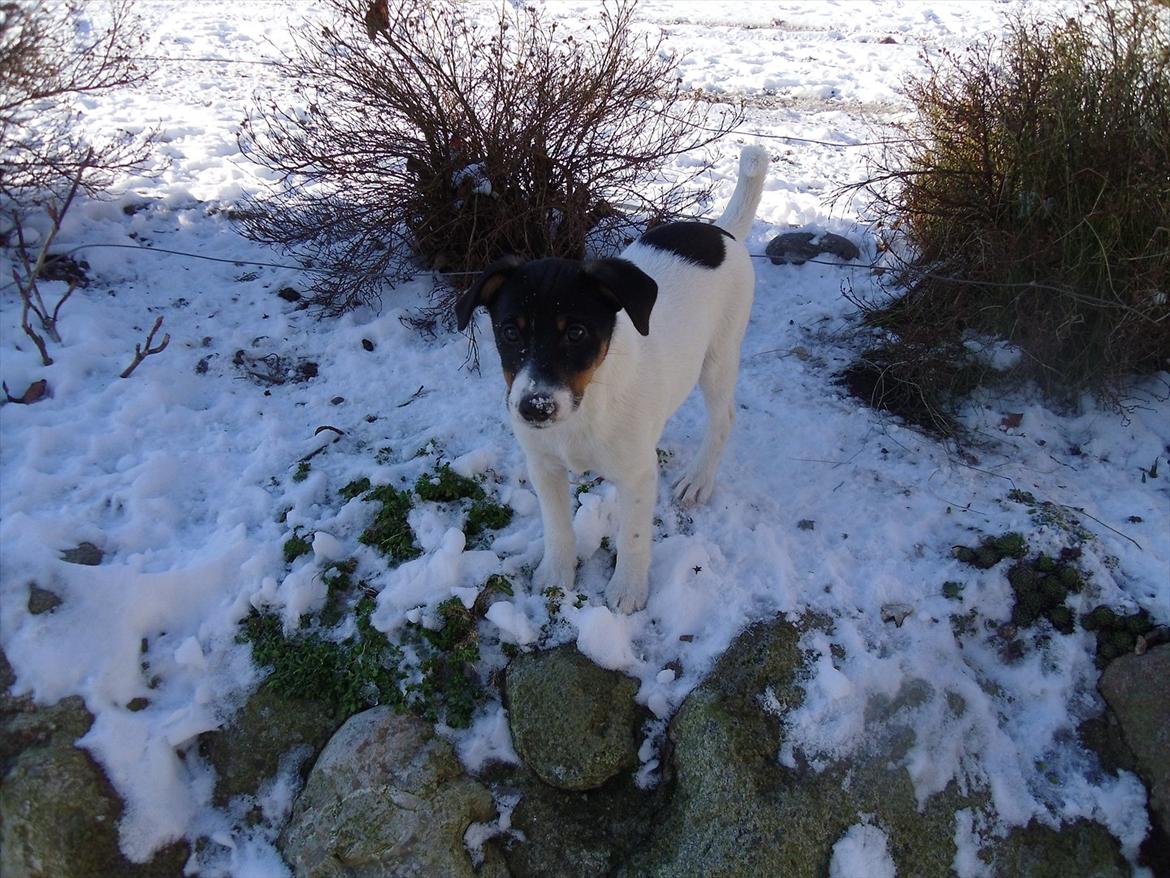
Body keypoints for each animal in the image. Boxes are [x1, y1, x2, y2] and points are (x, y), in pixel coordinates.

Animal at [453, 146, 767, 613]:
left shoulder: (637, 476)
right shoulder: (543, 464)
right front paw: (556, 574)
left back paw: (698, 479)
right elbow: (557, 526)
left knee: (723, 418)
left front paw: (627, 590)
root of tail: (721, 232)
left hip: (719, 357)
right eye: (509, 332)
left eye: (576, 333)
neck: (586, 406)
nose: (535, 408)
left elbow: (633, 537)